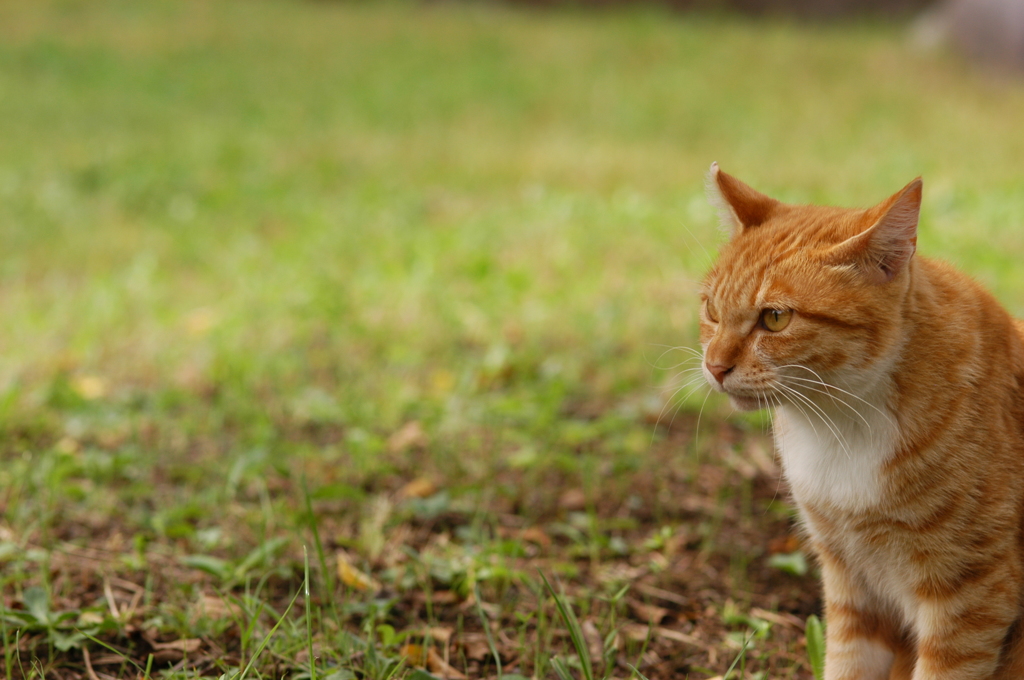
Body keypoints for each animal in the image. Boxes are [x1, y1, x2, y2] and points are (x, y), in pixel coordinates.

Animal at [700, 165, 1024, 680]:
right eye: (711, 311)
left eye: (775, 318)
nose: (713, 366)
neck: (838, 424)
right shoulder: (851, 583)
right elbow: (846, 664)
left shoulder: (972, 593)